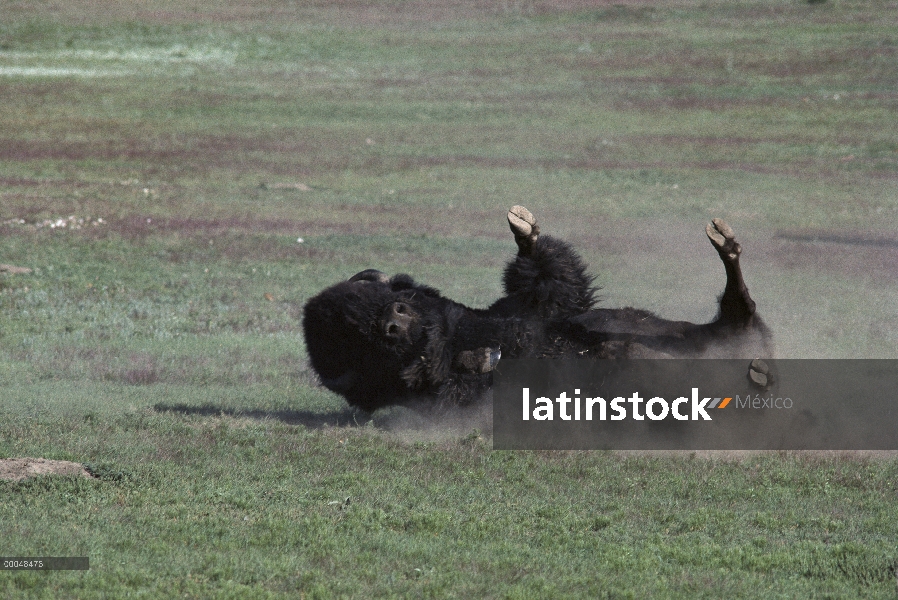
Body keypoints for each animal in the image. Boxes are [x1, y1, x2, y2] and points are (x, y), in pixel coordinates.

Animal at [302, 207, 768, 412]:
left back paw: (724, 241)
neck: (461, 333)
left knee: (739, 307)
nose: (395, 320)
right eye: (358, 338)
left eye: (383, 300)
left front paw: (524, 229)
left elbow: (554, 287)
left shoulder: (529, 309)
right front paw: (477, 361)